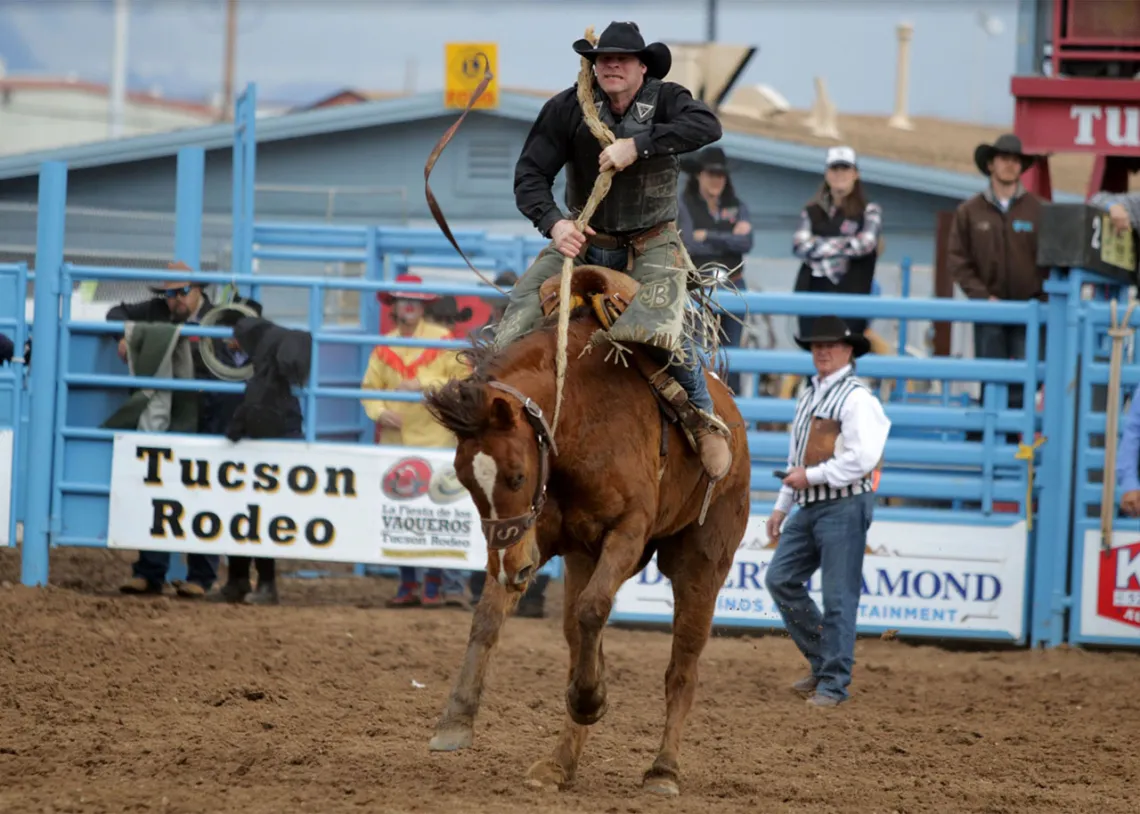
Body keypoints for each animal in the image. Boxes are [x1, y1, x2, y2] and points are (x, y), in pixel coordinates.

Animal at [424, 264, 752, 793]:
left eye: (516, 475)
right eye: (466, 481)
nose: (512, 568)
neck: (581, 412)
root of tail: (734, 420)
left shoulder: (626, 532)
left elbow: (595, 609)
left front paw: (591, 699)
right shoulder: (536, 537)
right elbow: (491, 618)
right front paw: (456, 719)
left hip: (702, 562)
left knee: (682, 668)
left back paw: (663, 769)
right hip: (581, 556)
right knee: (577, 634)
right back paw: (560, 763)